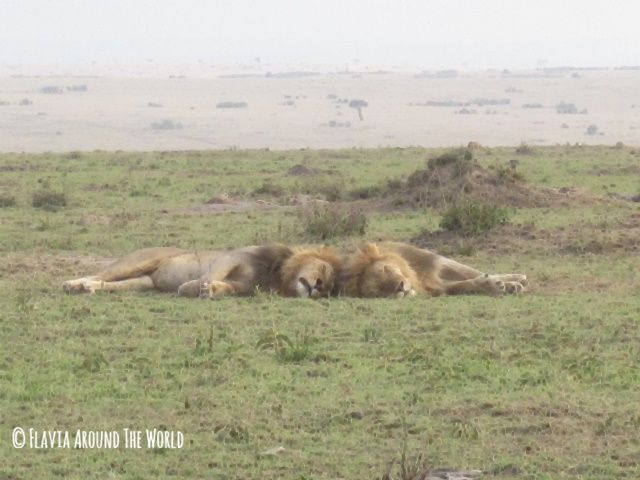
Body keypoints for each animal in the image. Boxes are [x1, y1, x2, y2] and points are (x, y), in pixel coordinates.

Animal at [338, 242, 528, 298]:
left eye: (385, 269)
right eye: (376, 291)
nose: (400, 287)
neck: (416, 279)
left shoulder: (436, 262)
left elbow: (472, 273)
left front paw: (512, 282)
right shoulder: (438, 288)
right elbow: (463, 285)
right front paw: (494, 286)